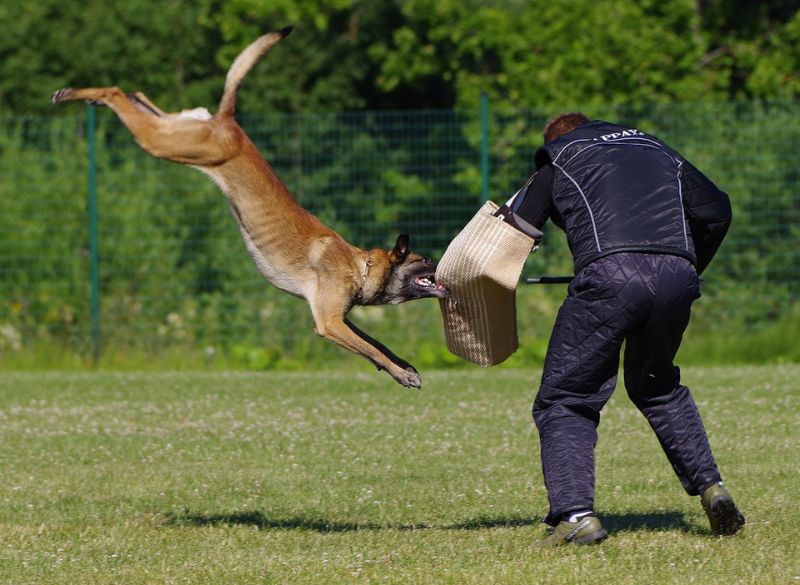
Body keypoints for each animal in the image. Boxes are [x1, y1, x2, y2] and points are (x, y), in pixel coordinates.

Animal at [52, 26, 446, 388]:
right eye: (426, 260)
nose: (446, 270)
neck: (360, 265)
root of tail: (229, 122)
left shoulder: (337, 317)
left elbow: (376, 343)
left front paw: (403, 365)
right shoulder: (330, 322)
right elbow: (372, 348)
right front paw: (401, 373)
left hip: (177, 129)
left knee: (138, 95)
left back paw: (87, 97)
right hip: (168, 143)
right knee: (118, 92)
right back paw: (74, 93)